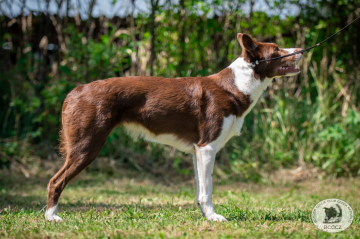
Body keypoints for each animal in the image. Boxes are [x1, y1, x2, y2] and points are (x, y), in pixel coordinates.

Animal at [45, 33, 304, 222]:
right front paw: (213, 217)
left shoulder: (197, 150)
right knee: (55, 181)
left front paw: (204, 216)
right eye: (277, 50)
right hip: (87, 146)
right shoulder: (207, 147)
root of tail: (75, 91)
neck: (237, 85)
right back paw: (52, 217)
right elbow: (208, 189)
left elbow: (200, 189)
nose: (301, 50)